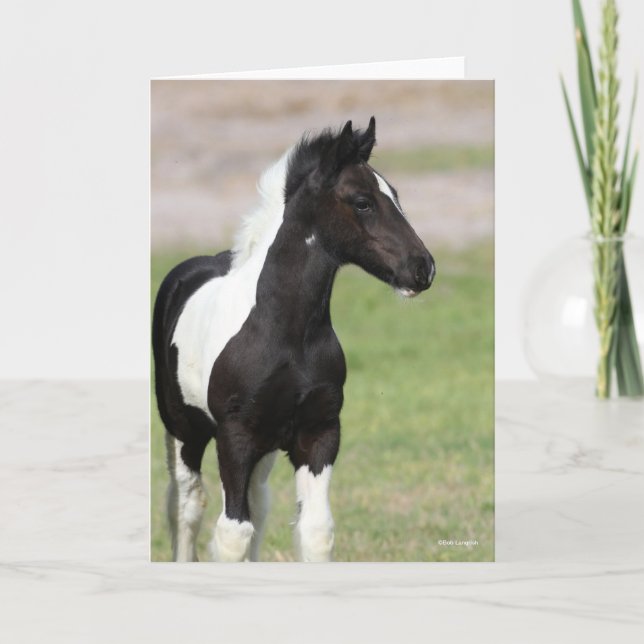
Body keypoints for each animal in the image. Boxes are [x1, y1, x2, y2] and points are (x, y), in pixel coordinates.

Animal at [152, 117, 435, 562]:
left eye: (396, 195)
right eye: (362, 202)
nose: (423, 268)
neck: (285, 335)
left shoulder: (319, 433)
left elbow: (315, 530)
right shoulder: (235, 437)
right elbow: (232, 533)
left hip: (263, 447)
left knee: (258, 501)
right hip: (185, 430)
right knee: (187, 506)